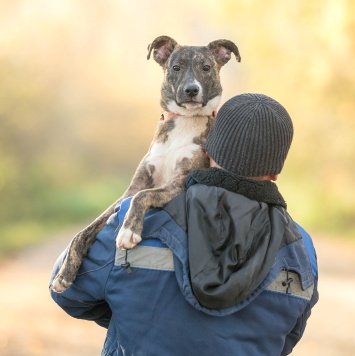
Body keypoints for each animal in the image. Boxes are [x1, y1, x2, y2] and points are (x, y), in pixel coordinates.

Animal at [50, 35, 242, 292]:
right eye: (175, 67)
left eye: (206, 67)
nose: (191, 90)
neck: (184, 121)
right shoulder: (131, 189)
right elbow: (85, 231)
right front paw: (65, 273)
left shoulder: (180, 182)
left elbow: (144, 197)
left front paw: (127, 231)